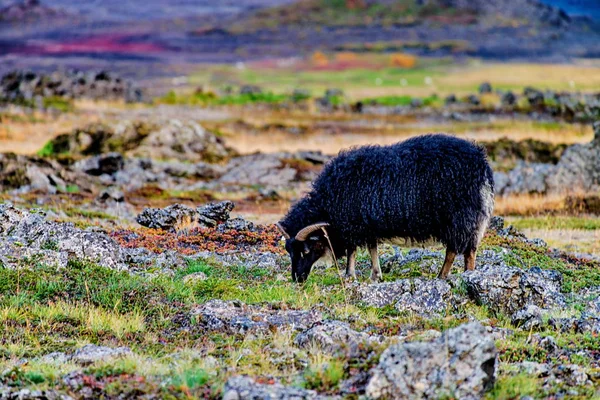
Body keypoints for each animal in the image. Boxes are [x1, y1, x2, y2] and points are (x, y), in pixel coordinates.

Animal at [274, 135, 494, 284]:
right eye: (289, 251)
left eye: (306, 250)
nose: (297, 278)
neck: (329, 202)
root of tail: (481, 164)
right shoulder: (368, 224)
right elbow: (372, 248)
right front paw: (375, 275)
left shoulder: (354, 224)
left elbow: (353, 251)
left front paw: (350, 275)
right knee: (467, 249)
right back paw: (462, 274)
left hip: (458, 217)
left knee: (457, 250)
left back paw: (448, 276)